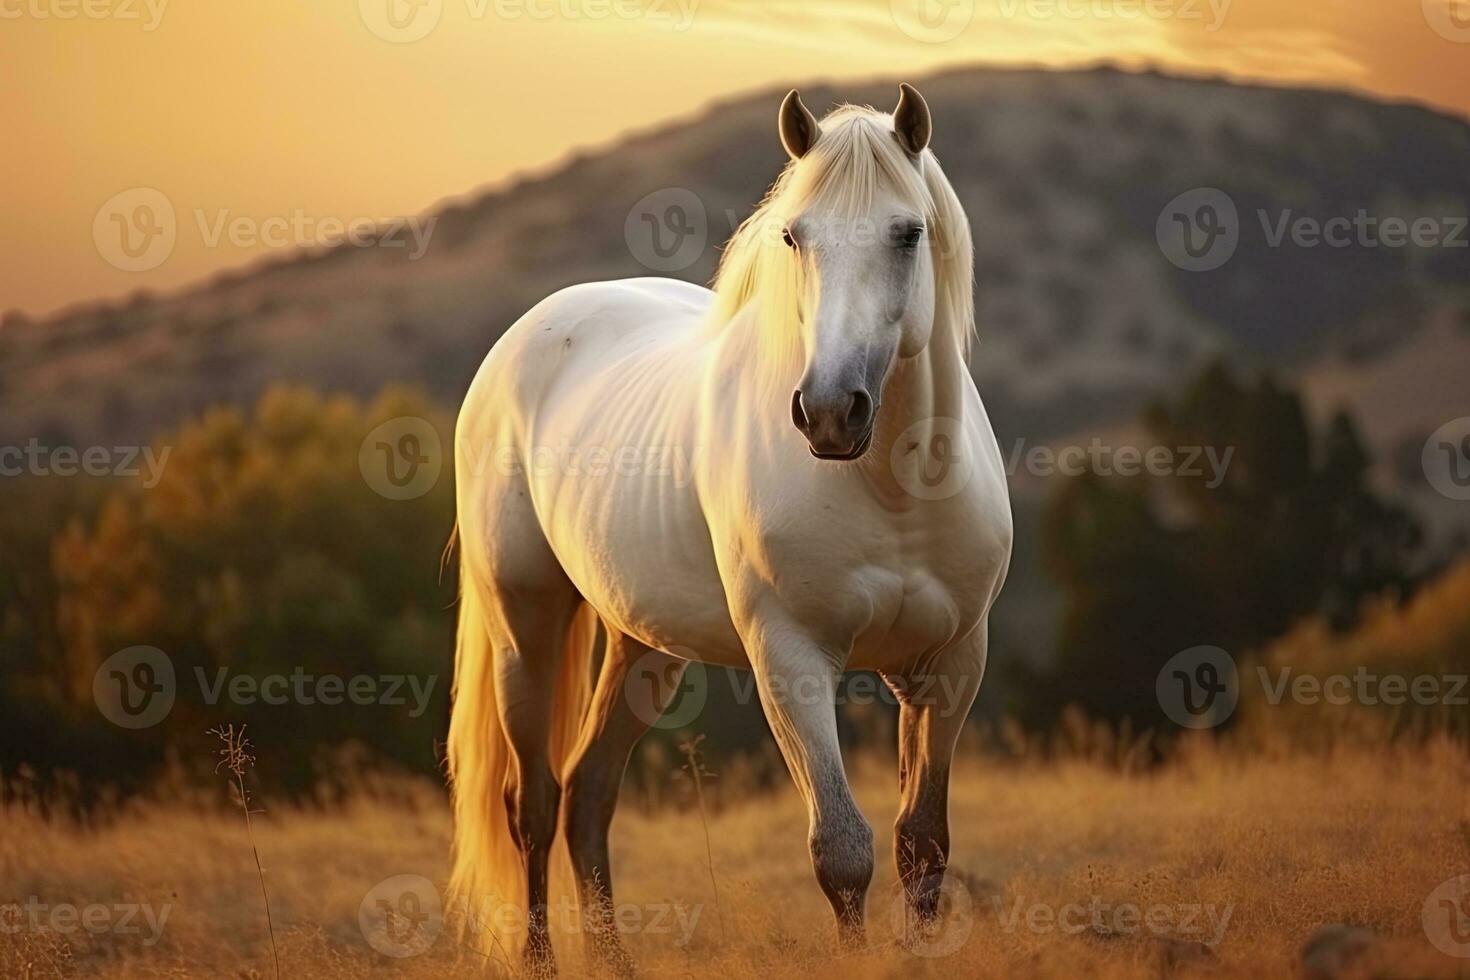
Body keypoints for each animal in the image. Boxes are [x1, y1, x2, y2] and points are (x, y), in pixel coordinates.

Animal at [443, 84, 1011, 975]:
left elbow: (923, 847)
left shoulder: (950, 667)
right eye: (794, 235)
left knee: (587, 796)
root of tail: (529, 333)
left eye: (908, 232)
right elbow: (842, 851)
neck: (893, 490)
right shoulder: (791, 661)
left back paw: (614, 962)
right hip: (522, 628)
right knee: (530, 803)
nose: (829, 412)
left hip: (642, 647)